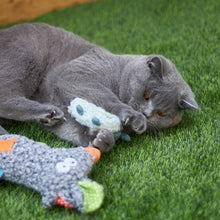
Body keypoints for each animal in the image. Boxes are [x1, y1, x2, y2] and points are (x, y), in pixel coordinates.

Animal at [0, 23, 199, 151]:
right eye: (146, 95)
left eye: (161, 114)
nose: (146, 114)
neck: (119, 72)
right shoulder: (74, 75)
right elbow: (105, 97)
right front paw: (132, 117)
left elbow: (69, 128)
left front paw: (100, 140)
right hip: (27, 57)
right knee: (6, 98)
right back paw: (48, 112)